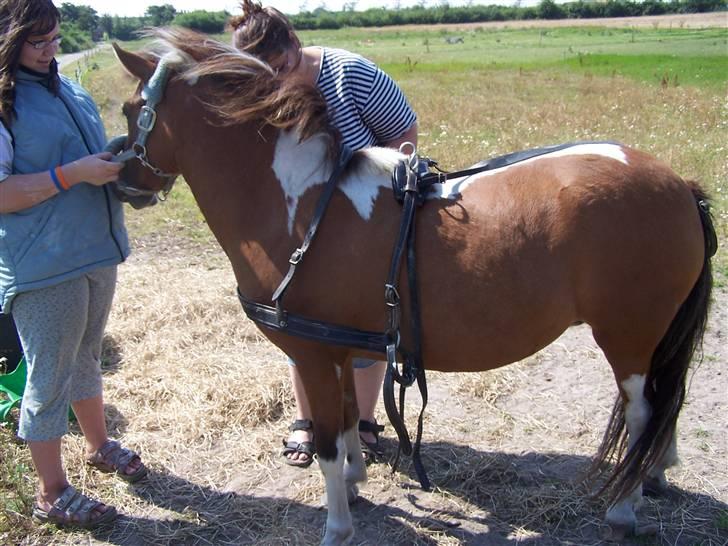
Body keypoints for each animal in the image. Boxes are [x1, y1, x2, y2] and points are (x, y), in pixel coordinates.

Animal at [112, 28, 716, 544]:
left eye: (130, 108)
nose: (123, 182)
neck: (302, 205)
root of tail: (677, 185)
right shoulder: (335, 348)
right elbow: (346, 424)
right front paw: (355, 481)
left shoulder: (311, 353)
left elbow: (328, 443)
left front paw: (336, 524)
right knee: (663, 403)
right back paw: (657, 472)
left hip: (628, 334)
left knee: (642, 412)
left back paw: (625, 506)